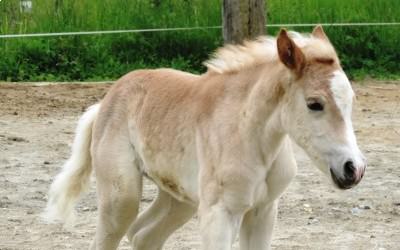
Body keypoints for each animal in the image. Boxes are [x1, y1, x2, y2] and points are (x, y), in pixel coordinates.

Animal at [43, 26, 366, 249]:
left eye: (351, 99)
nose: (354, 169)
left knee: (143, 236)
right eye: (314, 104)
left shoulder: (263, 212)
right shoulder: (219, 214)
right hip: (120, 197)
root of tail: (105, 101)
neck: (249, 136)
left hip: (179, 198)